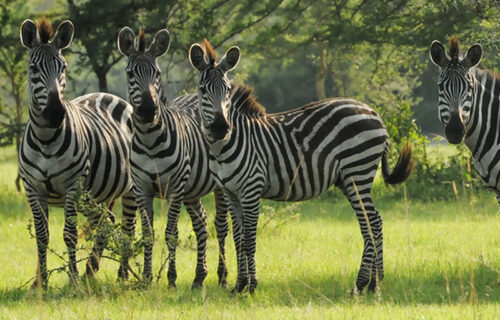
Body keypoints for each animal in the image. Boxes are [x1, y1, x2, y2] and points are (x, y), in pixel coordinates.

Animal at [19, 18, 138, 290]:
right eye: (33, 68)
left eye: (62, 67)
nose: (55, 112)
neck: (45, 139)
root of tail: (110, 95)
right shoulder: (33, 189)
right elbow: (42, 236)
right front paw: (39, 283)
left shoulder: (73, 186)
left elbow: (69, 234)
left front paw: (72, 279)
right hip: (95, 196)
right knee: (106, 222)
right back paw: (91, 270)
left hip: (129, 188)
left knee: (128, 227)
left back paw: (121, 275)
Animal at [117, 27, 229, 288]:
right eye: (130, 73)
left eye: (157, 74)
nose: (149, 110)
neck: (149, 141)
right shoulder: (142, 188)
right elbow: (148, 234)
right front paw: (147, 278)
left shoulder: (175, 187)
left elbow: (171, 233)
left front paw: (171, 278)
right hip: (193, 189)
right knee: (201, 222)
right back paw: (199, 277)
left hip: (217, 186)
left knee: (221, 225)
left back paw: (222, 276)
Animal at [188, 39, 414, 292]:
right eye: (202, 90)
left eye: (227, 90)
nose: (221, 127)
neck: (224, 147)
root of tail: (373, 111)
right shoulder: (230, 193)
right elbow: (238, 238)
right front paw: (239, 286)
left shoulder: (251, 189)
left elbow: (249, 240)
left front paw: (252, 285)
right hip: (349, 179)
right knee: (374, 221)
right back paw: (374, 282)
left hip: (358, 171)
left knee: (371, 222)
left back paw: (362, 283)